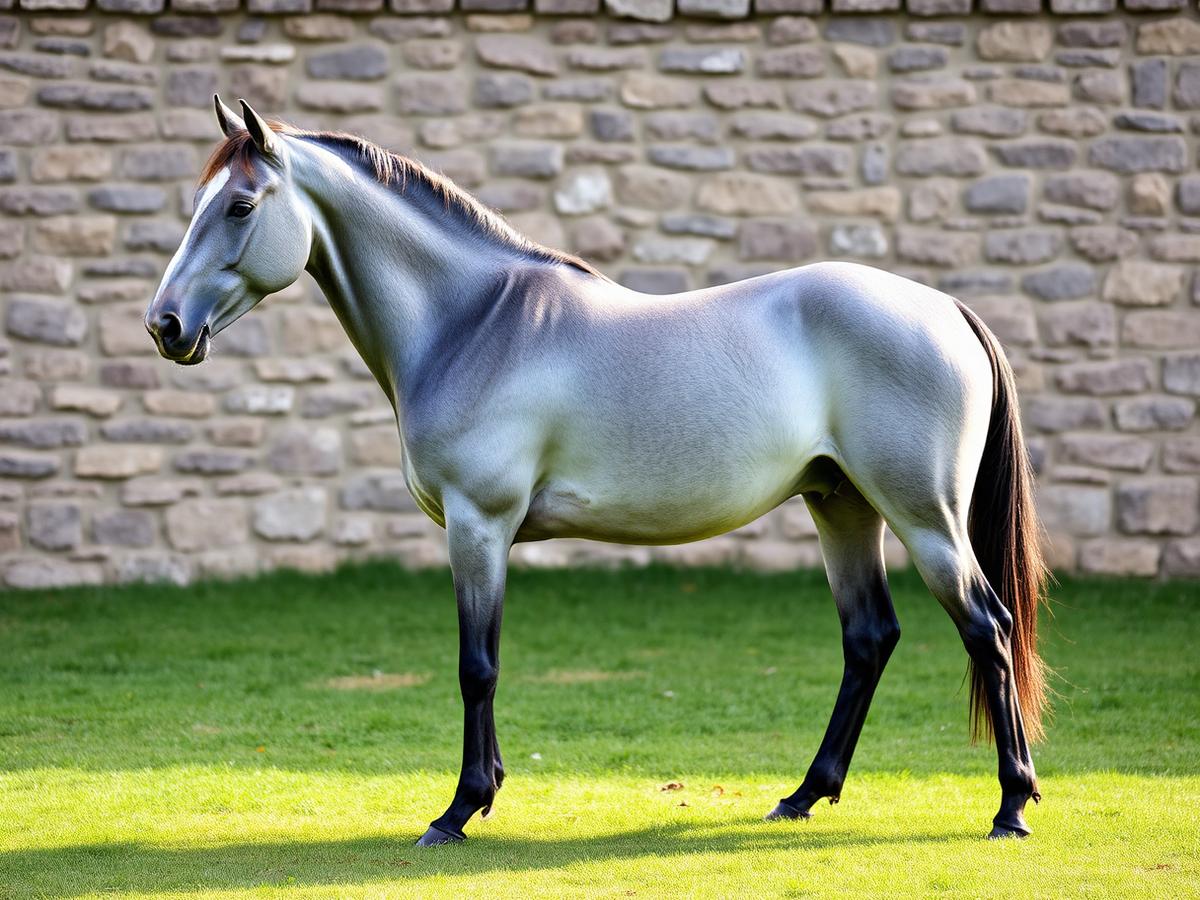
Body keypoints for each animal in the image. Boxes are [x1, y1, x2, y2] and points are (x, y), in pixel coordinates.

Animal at [145, 97, 1049, 846]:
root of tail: (943, 307)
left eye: (240, 205)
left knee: (988, 627)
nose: (165, 325)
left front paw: (458, 809)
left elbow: (476, 665)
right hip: (842, 506)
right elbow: (485, 663)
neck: (472, 322)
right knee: (869, 638)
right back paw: (802, 795)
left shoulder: (479, 525)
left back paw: (1010, 806)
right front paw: (488, 790)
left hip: (924, 516)